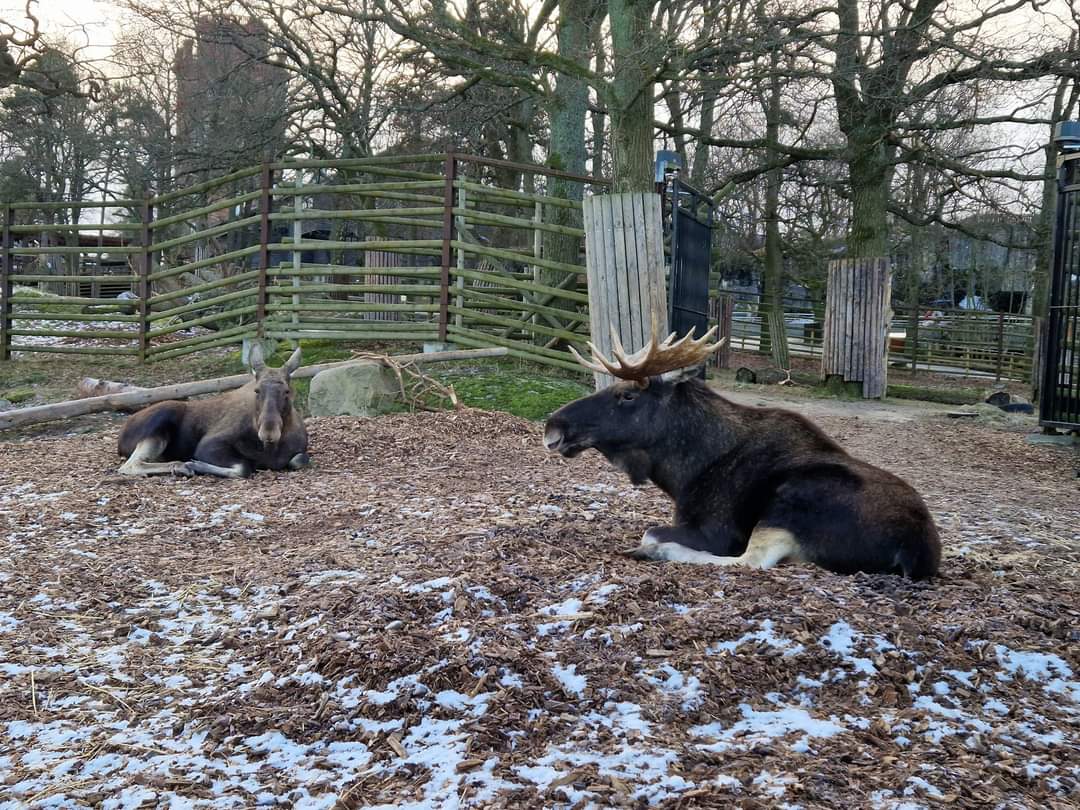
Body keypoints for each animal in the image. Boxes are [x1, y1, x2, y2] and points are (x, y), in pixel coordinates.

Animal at [116, 344, 309, 478]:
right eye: (257, 390)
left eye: (286, 391)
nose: (269, 432)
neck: (270, 449)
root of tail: (121, 435)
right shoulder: (207, 445)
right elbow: (244, 467)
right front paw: (194, 465)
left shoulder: (300, 453)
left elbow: (299, 460)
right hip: (161, 419)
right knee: (130, 465)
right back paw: (180, 466)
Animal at [544, 324, 941, 579]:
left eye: (627, 394)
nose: (553, 427)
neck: (684, 471)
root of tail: (916, 549)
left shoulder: (718, 531)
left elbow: (653, 531)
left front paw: (652, 546)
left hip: (788, 503)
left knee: (752, 561)